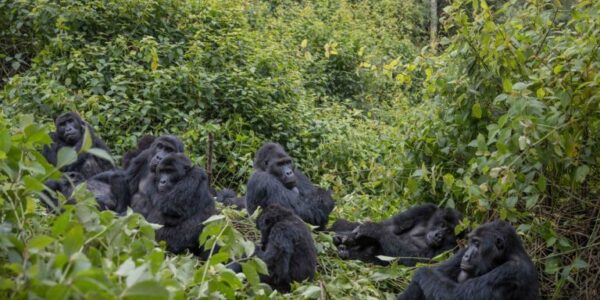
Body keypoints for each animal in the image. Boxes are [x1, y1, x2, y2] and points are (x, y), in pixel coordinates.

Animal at [332, 204, 464, 264]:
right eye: (443, 226)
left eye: (450, 232)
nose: (439, 235)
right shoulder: (424, 209)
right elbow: (390, 226)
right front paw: (350, 237)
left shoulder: (453, 249)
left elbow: (414, 260)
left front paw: (372, 229)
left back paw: (345, 252)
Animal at [398, 220, 540, 300]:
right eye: (471, 242)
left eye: (477, 244)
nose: (466, 255)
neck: (506, 254)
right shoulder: (461, 252)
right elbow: (438, 273)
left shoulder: (512, 270)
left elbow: (457, 295)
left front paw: (422, 272)